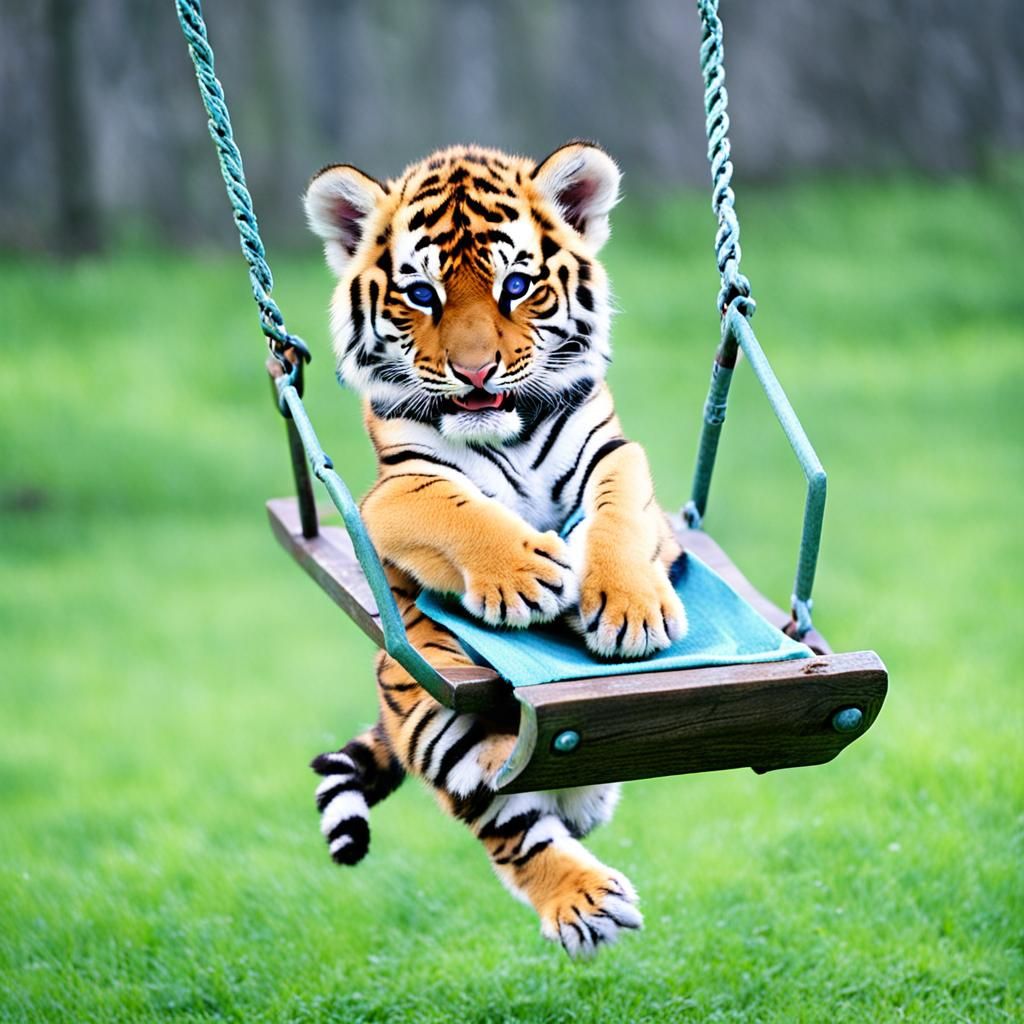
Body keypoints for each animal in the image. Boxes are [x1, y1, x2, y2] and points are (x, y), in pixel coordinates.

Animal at [303, 141, 688, 959]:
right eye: (420, 294)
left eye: (516, 285)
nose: (475, 372)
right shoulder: (391, 492)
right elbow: (454, 507)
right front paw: (525, 578)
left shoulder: (616, 454)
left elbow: (617, 517)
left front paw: (630, 610)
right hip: (428, 713)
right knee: (506, 813)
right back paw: (584, 900)